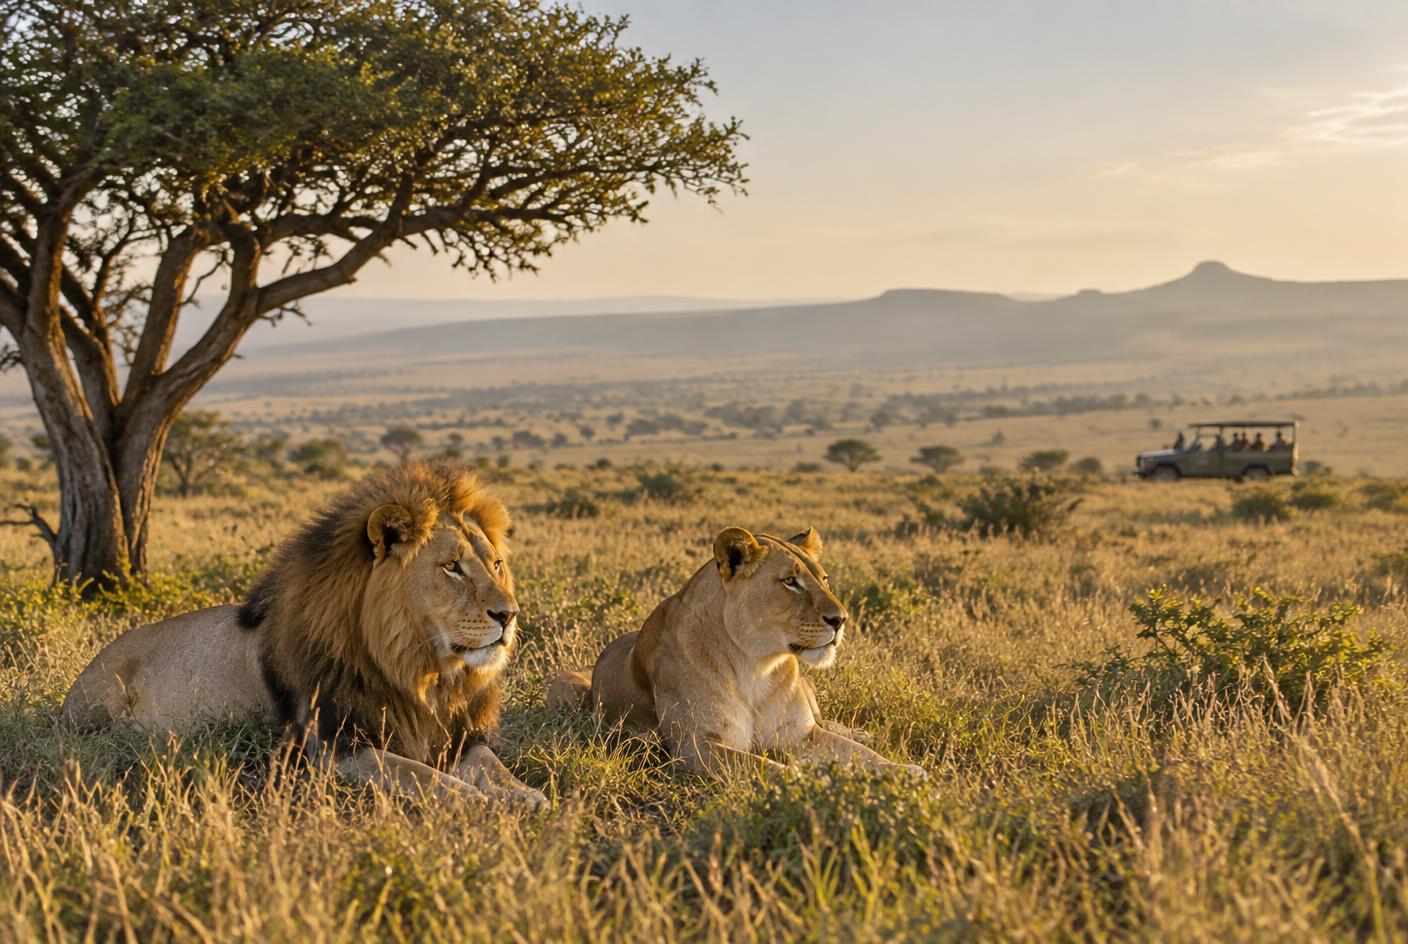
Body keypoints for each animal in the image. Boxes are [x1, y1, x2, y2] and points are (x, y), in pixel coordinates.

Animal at [62, 460, 544, 806]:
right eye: (452, 567)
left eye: (496, 564)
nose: (509, 615)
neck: (420, 670)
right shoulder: (336, 746)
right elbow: (421, 774)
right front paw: (478, 800)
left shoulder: (460, 735)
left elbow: (491, 765)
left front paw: (523, 795)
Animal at [548, 526, 923, 778]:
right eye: (790, 582)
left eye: (824, 578)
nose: (841, 620)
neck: (756, 664)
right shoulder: (700, 746)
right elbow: (769, 769)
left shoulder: (801, 734)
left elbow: (862, 754)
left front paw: (907, 773)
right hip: (561, 686)